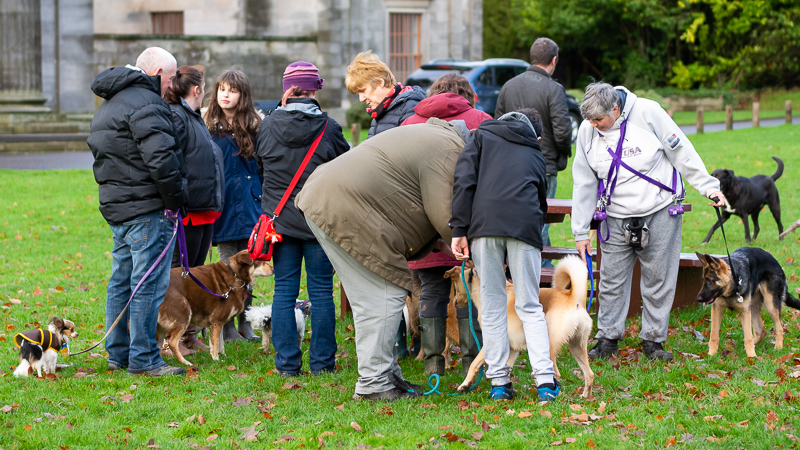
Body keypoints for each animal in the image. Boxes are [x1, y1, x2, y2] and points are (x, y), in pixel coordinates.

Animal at [446, 256, 592, 398]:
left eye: (454, 287)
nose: (453, 304)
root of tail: (573, 298)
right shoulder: (512, 348)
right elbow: (505, 369)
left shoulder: (492, 342)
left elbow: (474, 364)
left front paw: (464, 384)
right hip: (577, 347)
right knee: (589, 374)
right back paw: (585, 396)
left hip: (550, 346)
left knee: (556, 374)